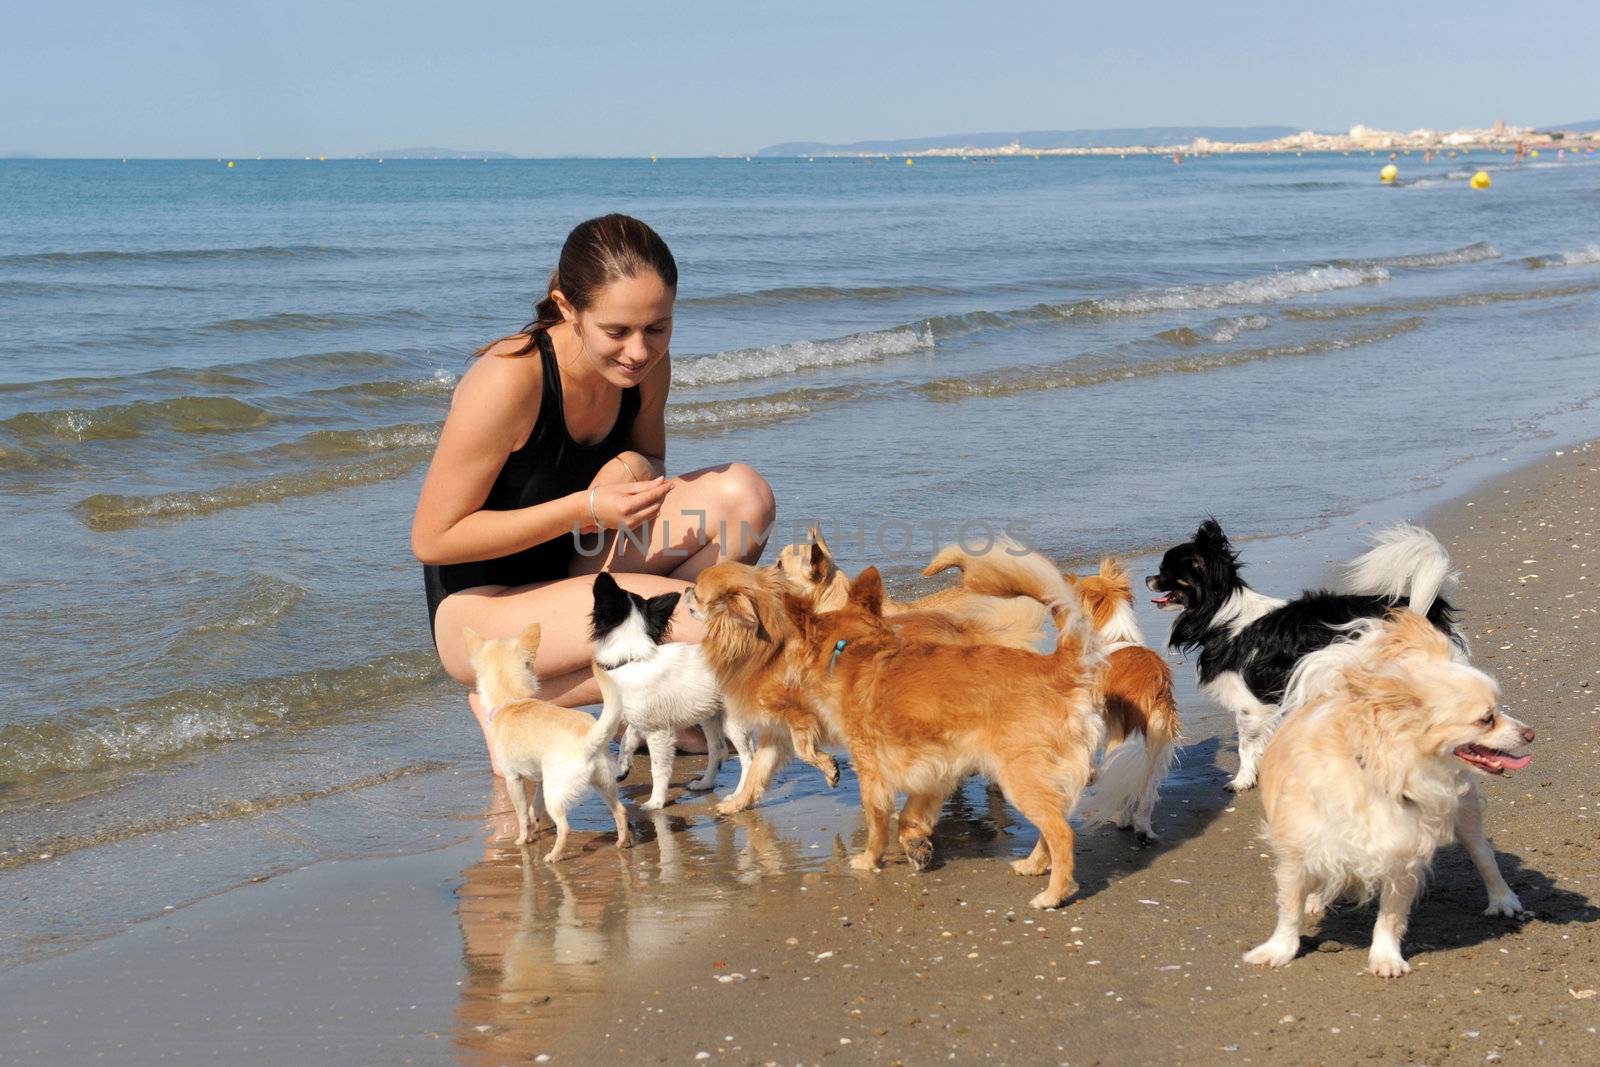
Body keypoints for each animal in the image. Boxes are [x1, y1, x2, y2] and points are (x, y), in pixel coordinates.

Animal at [1152, 521, 1465, 790]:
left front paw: (1242, 780)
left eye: (1165, 572)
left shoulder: (1250, 704)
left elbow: (1246, 746)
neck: (1223, 614)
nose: (1147, 578)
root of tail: (1421, 611)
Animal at [1241, 614, 1529, 979]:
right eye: (1486, 719)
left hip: (1466, 814)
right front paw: (1279, 950)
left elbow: (1389, 918)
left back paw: (1503, 900)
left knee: (1484, 857)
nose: (1530, 733)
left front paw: (1385, 957)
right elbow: (1289, 909)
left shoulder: (1401, 857)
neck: (1376, 774)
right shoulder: (1296, 853)